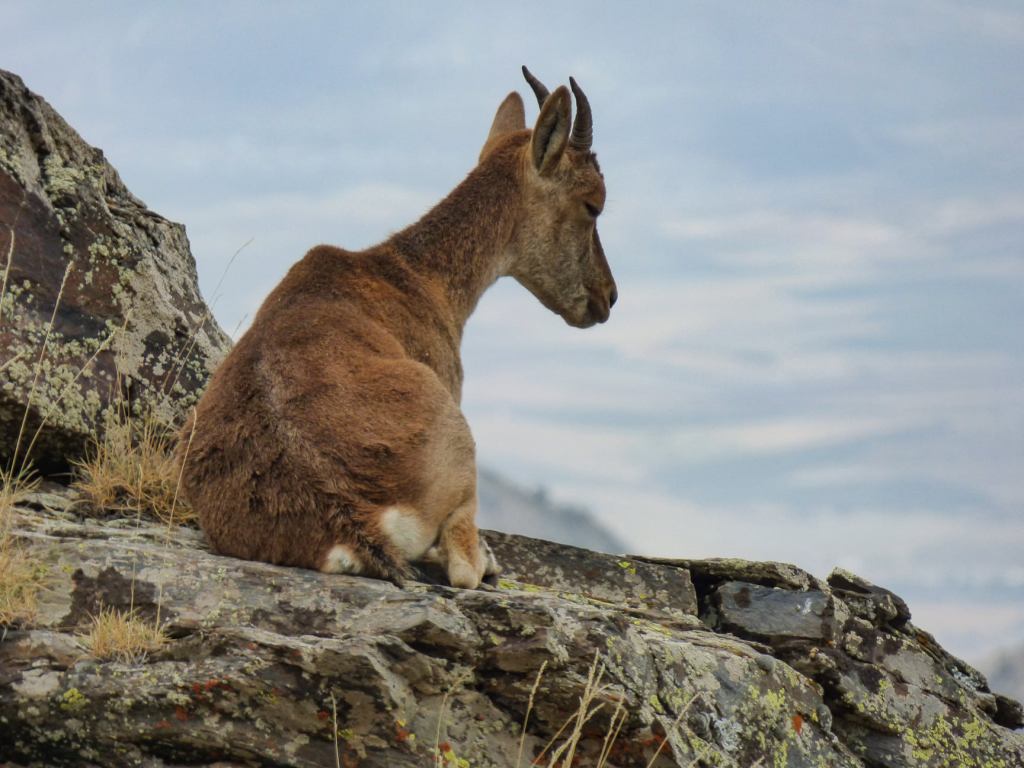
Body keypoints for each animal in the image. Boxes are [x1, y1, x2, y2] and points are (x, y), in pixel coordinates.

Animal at [177, 68, 617, 589]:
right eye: (593, 204)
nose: (607, 297)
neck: (414, 276)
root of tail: (349, 516)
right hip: (461, 448)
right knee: (464, 565)